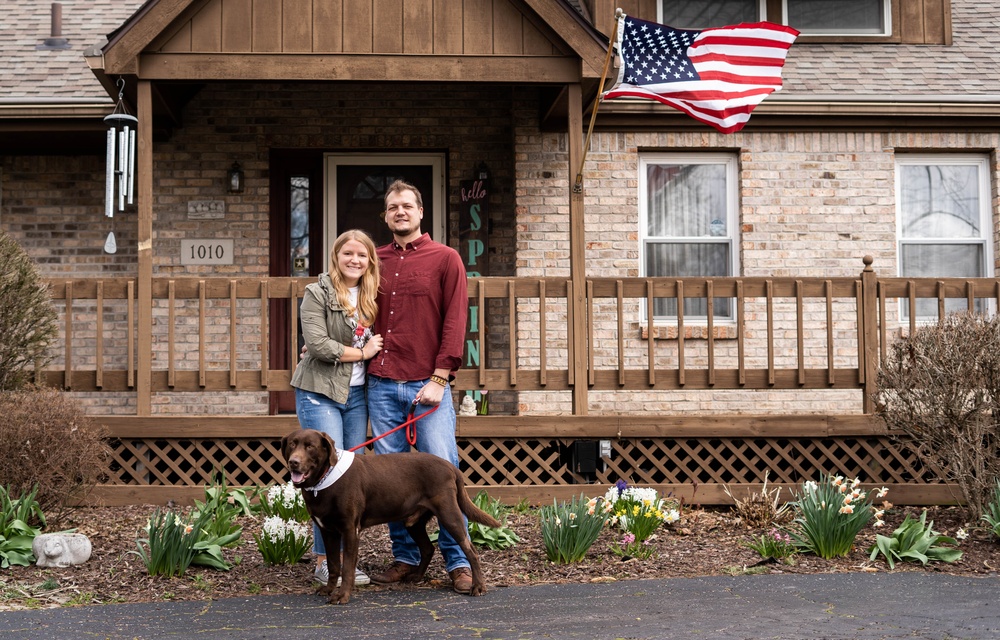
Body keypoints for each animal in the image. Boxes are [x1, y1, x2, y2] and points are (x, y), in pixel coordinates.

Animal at [280, 430, 500, 604]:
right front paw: (328, 589)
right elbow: (334, 565)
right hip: (414, 522)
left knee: (470, 549)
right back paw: (416, 577)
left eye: (310, 446)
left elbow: (347, 567)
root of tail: (450, 466)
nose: (294, 462)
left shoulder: (350, 530)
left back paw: (478, 587)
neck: (323, 480)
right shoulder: (327, 531)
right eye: (292, 444)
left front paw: (342, 596)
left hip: (449, 513)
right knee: (427, 548)